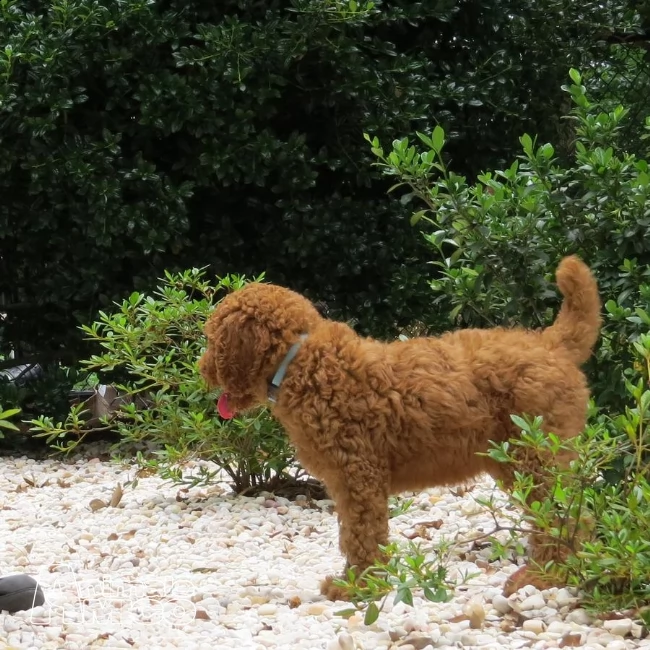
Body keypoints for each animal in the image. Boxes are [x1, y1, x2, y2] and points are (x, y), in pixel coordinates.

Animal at [197, 256, 596, 600]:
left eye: (213, 339)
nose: (202, 370)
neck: (302, 360)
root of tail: (551, 344)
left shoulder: (357, 475)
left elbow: (361, 533)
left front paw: (358, 586)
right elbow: (358, 533)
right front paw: (360, 581)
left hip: (537, 457)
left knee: (563, 515)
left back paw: (543, 577)